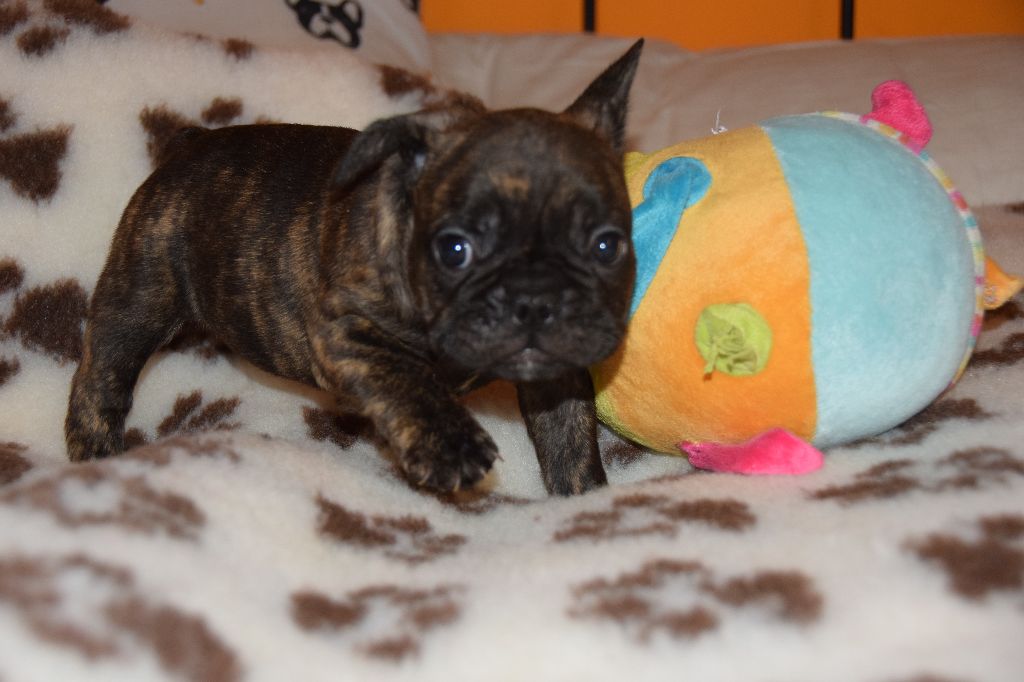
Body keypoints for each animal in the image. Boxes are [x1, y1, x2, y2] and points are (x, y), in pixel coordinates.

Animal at [65, 40, 643, 496]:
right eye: (455, 249)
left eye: (607, 246)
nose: (534, 299)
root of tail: (190, 141)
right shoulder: (345, 333)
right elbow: (408, 379)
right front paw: (449, 445)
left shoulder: (558, 372)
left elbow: (569, 437)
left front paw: (585, 500)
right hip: (142, 289)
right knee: (104, 366)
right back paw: (94, 451)